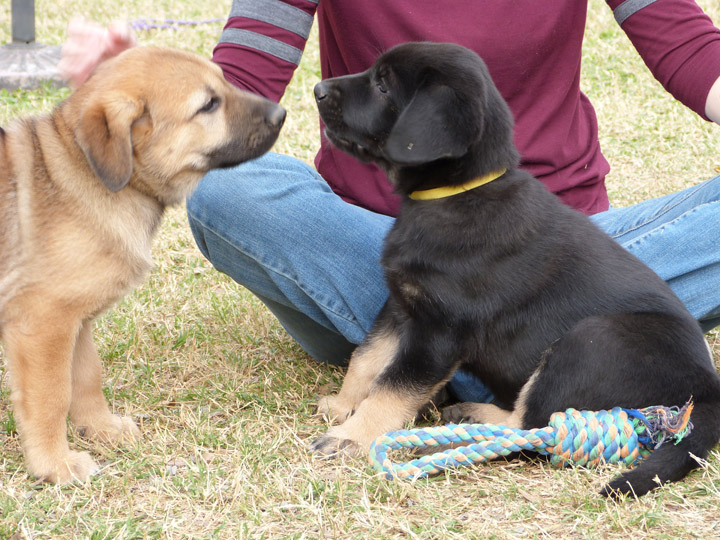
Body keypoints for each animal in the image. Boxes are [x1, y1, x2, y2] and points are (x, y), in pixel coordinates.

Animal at [0, 46, 286, 484]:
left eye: (224, 82)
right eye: (208, 105)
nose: (281, 113)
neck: (83, 171)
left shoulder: (76, 319)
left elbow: (86, 377)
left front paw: (100, 428)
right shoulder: (44, 322)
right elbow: (51, 395)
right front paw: (55, 463)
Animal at [312, 42, 720, 498]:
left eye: (383, 85)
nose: (317, 90)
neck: (455, 194)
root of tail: (708, 391)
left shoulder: (439, 332)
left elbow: (392, 387)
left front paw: (351, 437)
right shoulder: (402, 306)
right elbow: (366, 359)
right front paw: (343, 406)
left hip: (592, 339)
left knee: (533, 426)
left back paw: (473, 419)